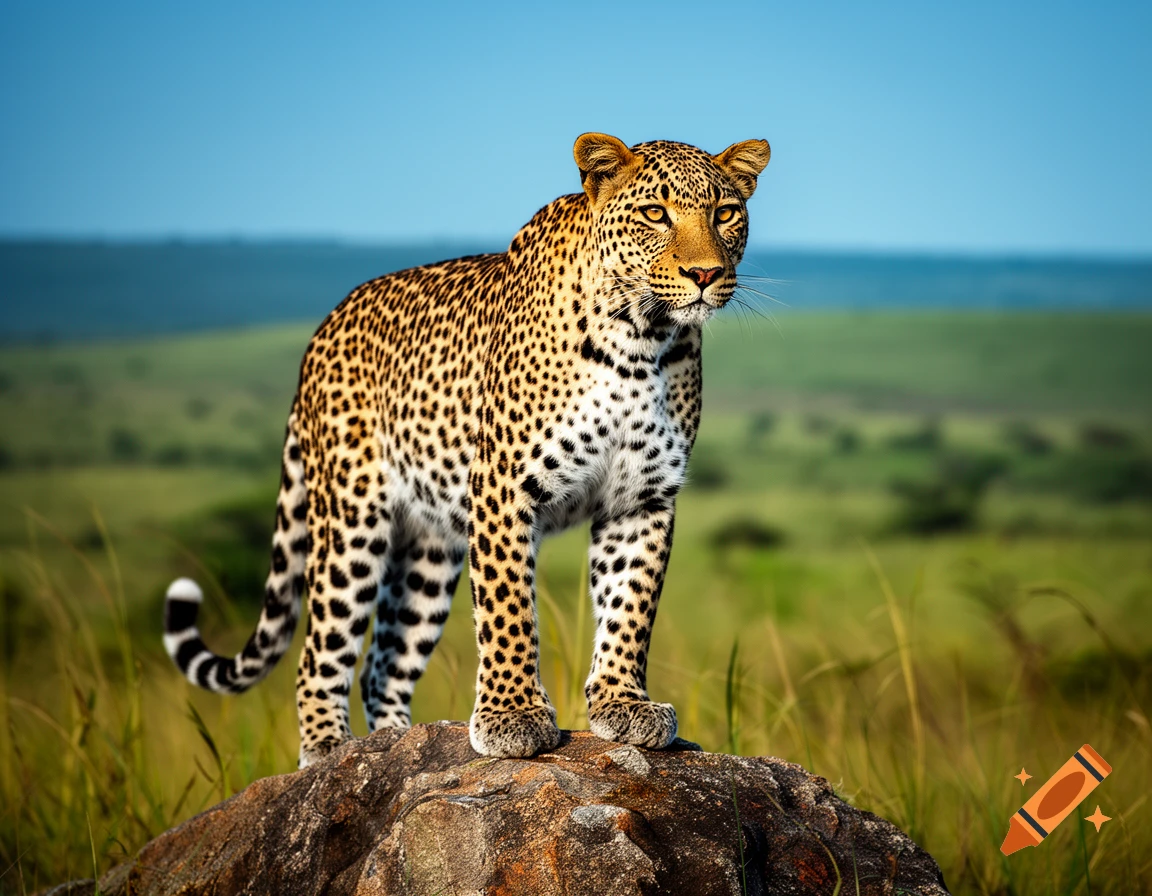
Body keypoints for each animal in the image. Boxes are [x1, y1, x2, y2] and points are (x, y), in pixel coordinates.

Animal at [163, 133, 771, 767]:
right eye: (655, 213)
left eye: (725, 213)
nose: (705, 273)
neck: (641, 339)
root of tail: (323, 329)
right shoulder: (507, 486)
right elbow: (508, 608)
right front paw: (513, 717)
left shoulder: (642, 499)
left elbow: (630, 605)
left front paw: (621, 703)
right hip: (351, 520)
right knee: (319, 655)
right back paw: (331, 751)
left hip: (428, 550)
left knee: (383, 666)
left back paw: (395, 745)